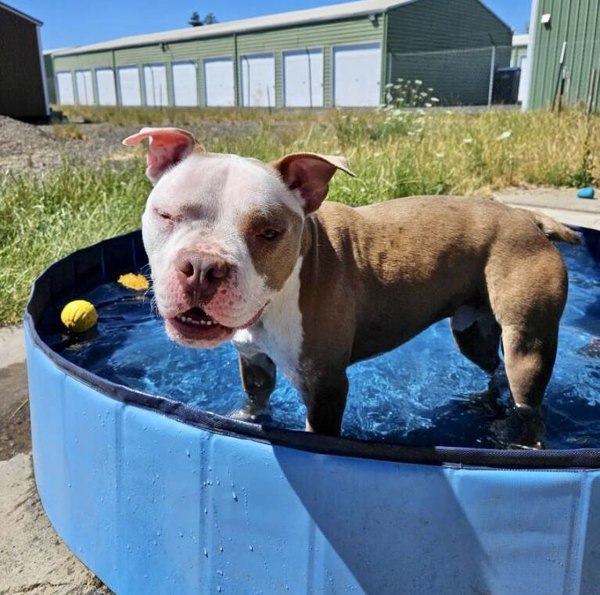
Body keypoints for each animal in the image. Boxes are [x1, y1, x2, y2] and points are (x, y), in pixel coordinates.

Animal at [124, 128, 580, 450]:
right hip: (473, 331)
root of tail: (529, 217)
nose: (202, 267)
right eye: (165, 214)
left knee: (528, 399)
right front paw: (239, 420)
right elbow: (255, 402)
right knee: (494, 367)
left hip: (529, 344)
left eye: (269, 233)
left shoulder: (326, 386)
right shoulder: (254, 361)